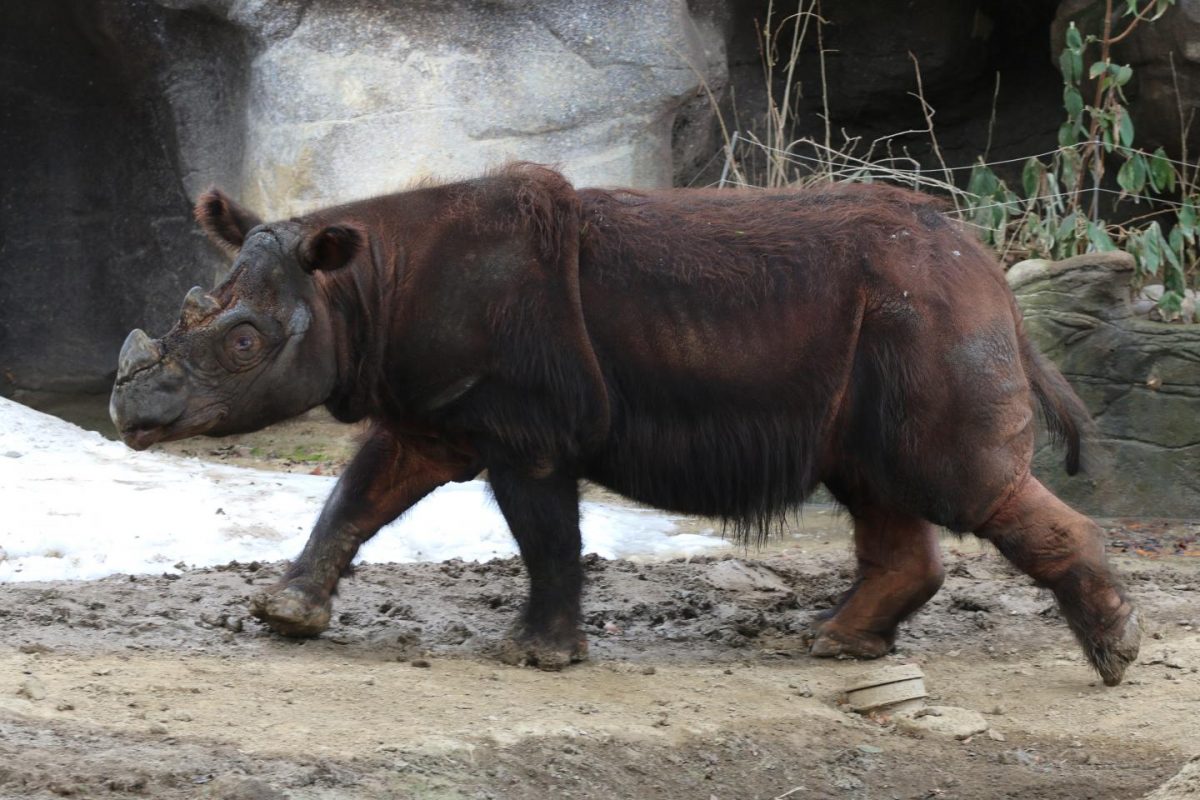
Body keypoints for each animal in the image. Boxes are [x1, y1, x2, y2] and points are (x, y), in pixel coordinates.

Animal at [110, 163, 1142, 681]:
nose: (129, 412)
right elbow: (357, 497)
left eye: (245, 343)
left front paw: (536, 657)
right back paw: (833, 644)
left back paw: (1114, 657)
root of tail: (994, 277)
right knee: (875, 482)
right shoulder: (434, 409)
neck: (362, 283)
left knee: (955, 481)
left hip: (927, 311)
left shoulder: (524, 426)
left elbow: (545, 536)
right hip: (900, 318)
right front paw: (284, 616)